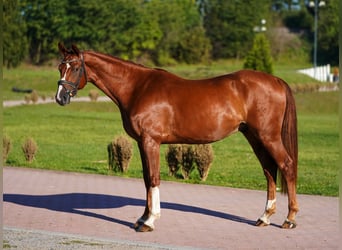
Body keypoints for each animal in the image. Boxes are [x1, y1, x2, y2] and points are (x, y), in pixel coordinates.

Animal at [54, 43, 298, 232]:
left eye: (76, 67)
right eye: (60, 67)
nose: (60, 97)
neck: (138, 88)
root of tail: (276, 81)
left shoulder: (150, 141)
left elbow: (153, 178)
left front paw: (150, 221)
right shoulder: (142, 143)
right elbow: (146, 179)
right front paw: (142, 218)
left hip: (268, 137)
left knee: (286, 165)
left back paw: (289, 219)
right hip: (254, 137)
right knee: (269, 170)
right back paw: (264, 217)